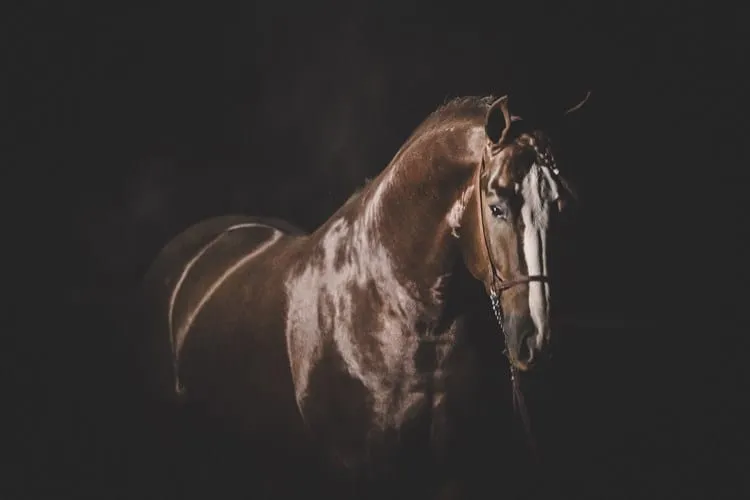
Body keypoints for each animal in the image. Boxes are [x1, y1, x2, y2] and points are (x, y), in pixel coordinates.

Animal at [135, 92, 590, 499]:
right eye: (496, 206)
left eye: (561, 207)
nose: (536, 340)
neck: (394, 310)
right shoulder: (356, 471)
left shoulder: (448, 475)